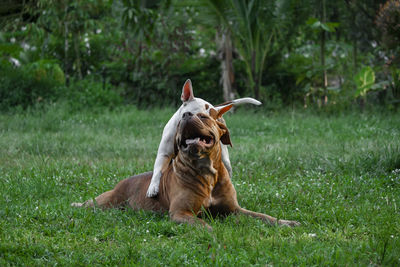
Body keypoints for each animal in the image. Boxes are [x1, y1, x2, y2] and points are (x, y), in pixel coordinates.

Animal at [71, 107, 300, 230]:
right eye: (182, 117)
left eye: (204, 116)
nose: (187, 114)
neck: (206, 172)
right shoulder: (181, 212)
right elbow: (201, 223)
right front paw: (212, 231)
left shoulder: (235, 210)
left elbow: (263, 216)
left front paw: (286, 222)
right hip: (105, 203)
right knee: (89, 204)